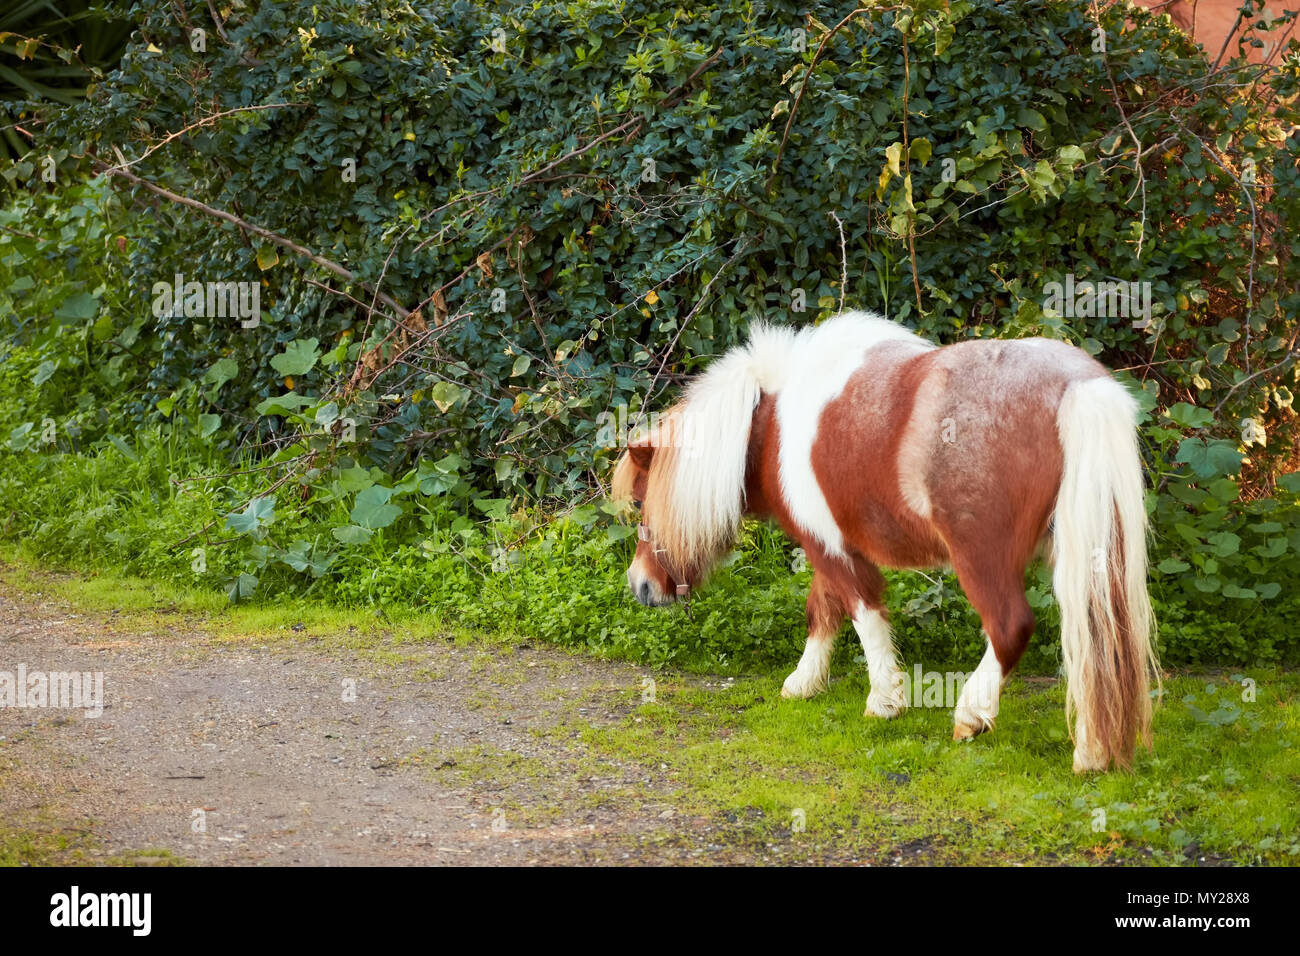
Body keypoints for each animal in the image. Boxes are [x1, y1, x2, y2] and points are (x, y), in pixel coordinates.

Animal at [613, 310, 1164, 775]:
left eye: (640, 503)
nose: (640, 586)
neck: (771, 427)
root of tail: (1077, 385)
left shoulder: (831, 549)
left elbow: (863, 616)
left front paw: (883, 702)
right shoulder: (829, 545)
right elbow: (823, 611)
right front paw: (803, 684)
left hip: (983, 559)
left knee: (1012, 627)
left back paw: (973, 714)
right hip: (1085, 554)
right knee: (1097, 638)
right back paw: (1092, 753)